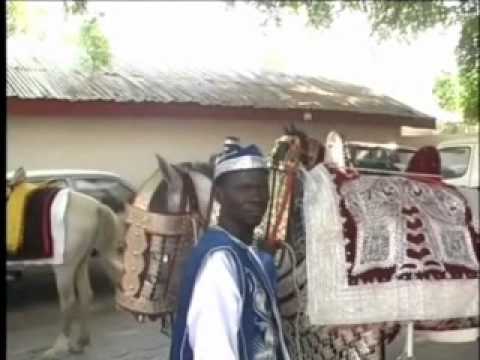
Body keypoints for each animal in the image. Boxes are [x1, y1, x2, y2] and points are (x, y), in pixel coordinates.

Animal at [6, 168, 124, 360]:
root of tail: (96, 206)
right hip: (81, 261)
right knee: (86, 294)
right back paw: (81, 342)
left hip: (65, 266)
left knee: (68, 301)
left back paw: (59, 347)